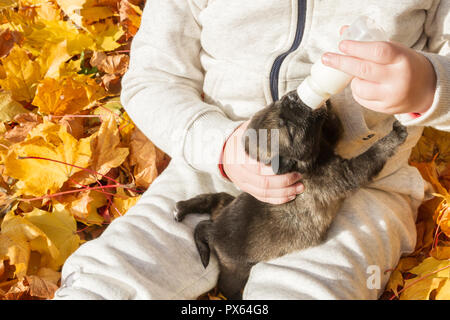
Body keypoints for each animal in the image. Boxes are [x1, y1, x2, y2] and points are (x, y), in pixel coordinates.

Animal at [173, 90, 408, 300]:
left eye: (276, 104)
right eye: (288, 127)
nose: (292, 96)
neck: (311, 160)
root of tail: (214, 230)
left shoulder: (328, 139)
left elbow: (334, 125)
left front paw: (326, 99)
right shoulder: (346, 174)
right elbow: (372, 154)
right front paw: (395, 135)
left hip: (225, 203)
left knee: (211, 200)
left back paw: (181, 208)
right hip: (236, 271)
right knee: (225, 286)